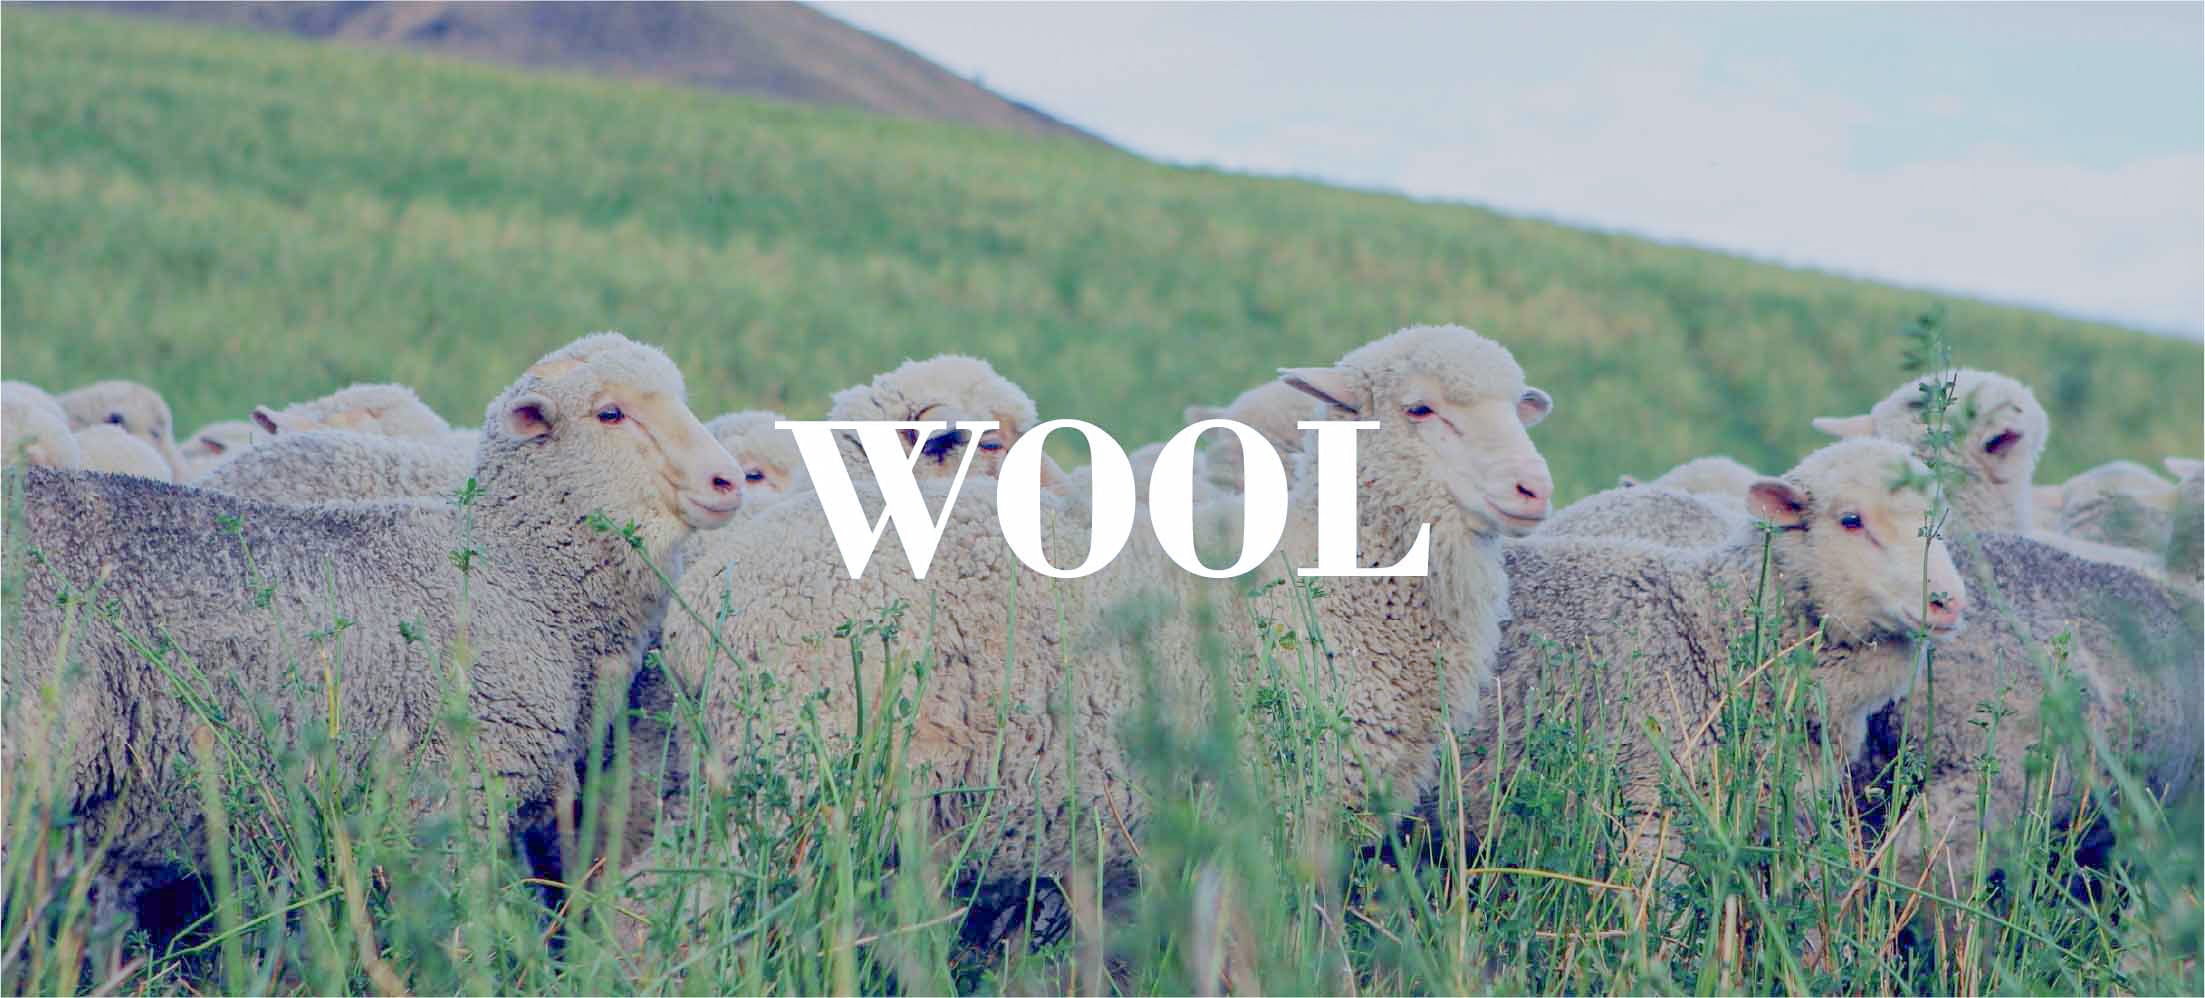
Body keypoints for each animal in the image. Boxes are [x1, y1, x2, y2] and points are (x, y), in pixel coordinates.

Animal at [659, 324, 1556, 890]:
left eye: (1518, 406)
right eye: (1419, 407)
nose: (1532, 489)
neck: (1314, 577)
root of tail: (708, 583)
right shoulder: (1264, 815)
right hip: (789, 772)